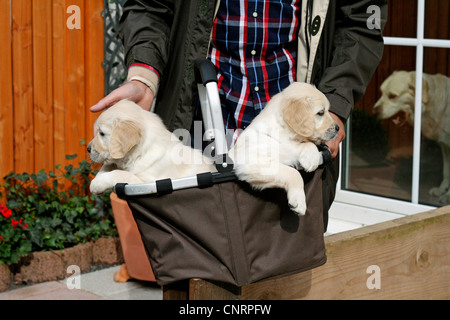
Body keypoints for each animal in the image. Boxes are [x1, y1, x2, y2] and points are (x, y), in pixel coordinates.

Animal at [229, 82, 338, 215]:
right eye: (321, 112)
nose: (338, 128)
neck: (284, 134)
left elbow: (308, 143)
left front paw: (311, 159)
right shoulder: (253, 162)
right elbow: (294, 173)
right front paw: (299, 202)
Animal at [372, 71, 450, 204]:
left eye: (392, 96)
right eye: (381, 93)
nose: (374, 110)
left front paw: (448, 195)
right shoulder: (444, 145)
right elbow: (446, 172)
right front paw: (441, 190)